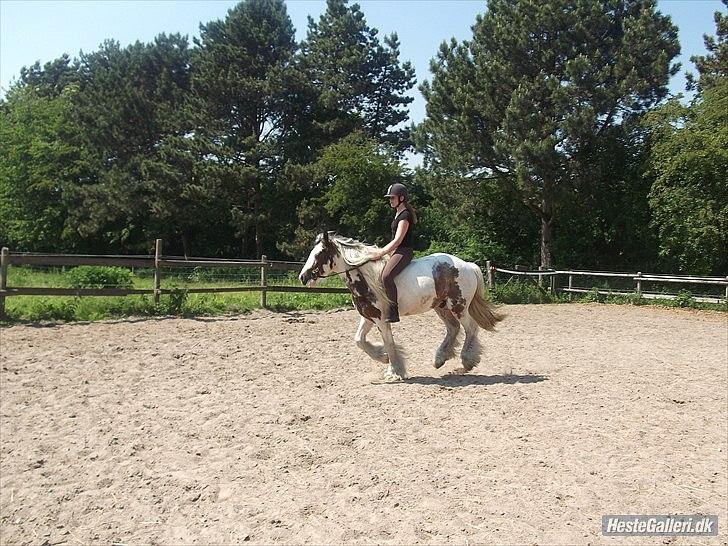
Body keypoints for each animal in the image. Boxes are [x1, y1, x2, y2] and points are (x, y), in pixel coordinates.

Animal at [298, 232, 504, 380]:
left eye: (319, 254)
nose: (303, 277)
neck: (366, 277)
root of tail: (468, 265)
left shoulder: (382, 319)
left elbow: (389, 343)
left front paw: (394, 371)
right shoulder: (369, 316)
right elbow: (359, 340)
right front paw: (383, 357)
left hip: (458, 306)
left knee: (470, 328)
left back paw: (467, 361)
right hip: (441, 307)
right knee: (453, 328)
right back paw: (439, 359)